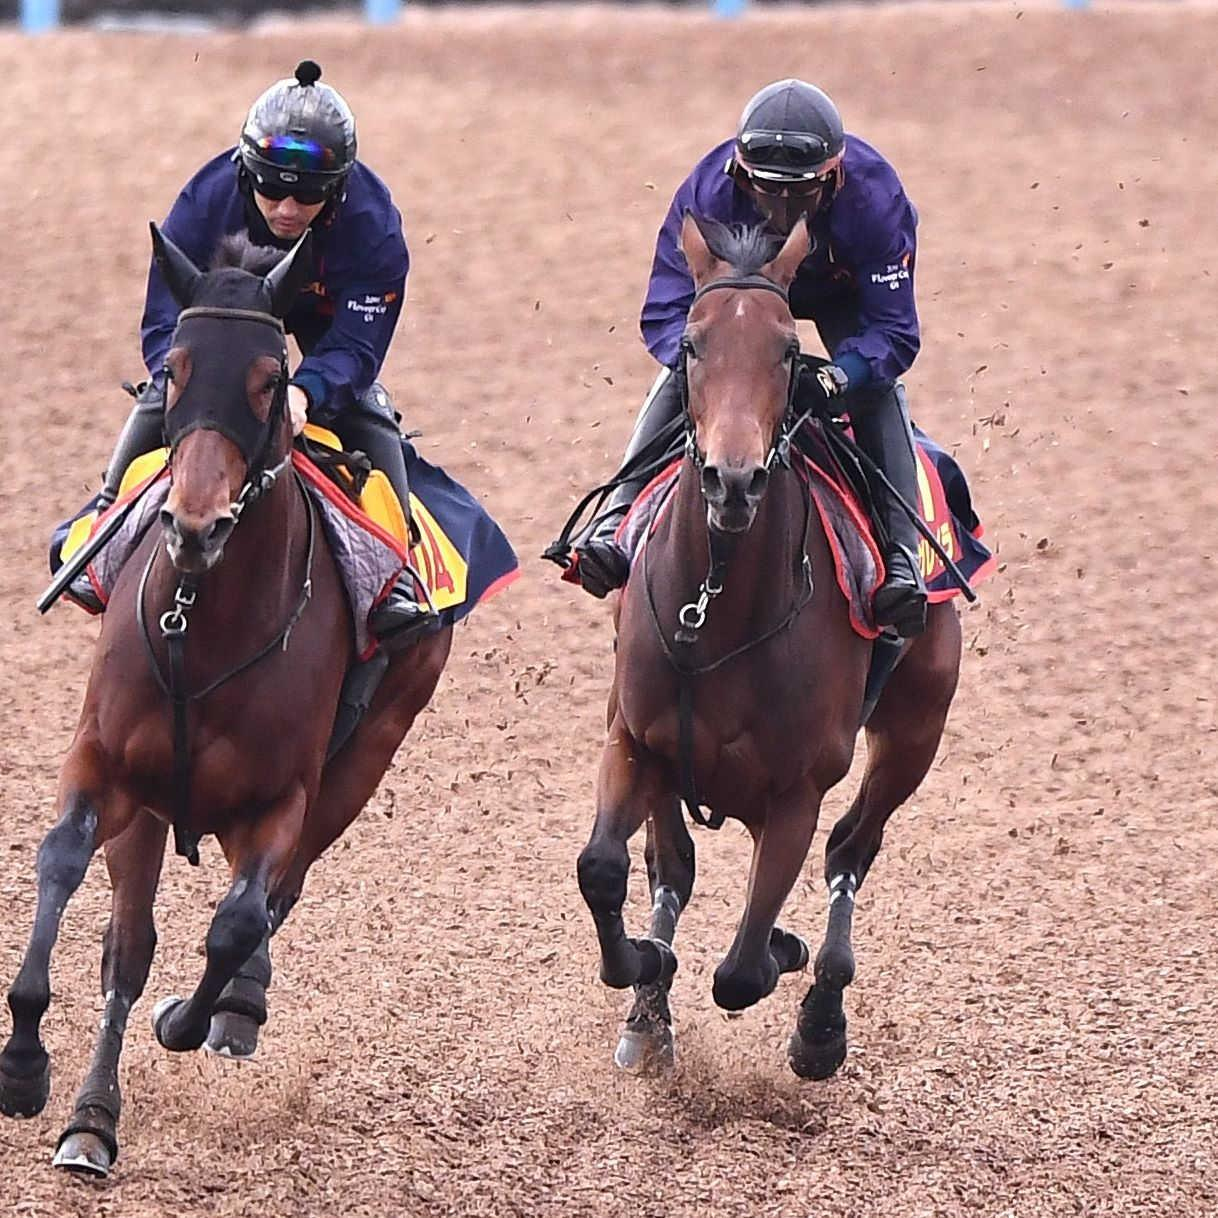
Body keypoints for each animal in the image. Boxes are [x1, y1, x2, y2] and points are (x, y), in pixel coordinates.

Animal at [0, 226, 453, 1169]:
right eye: (173, 370)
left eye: (270, 380)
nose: (195, 523)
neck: (198, 620)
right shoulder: (106, 766)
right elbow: (65, 867)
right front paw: (27, 1067)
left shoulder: (282, 800)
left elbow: (238, 921)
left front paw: (191, 1016)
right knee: (129, 944)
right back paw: (91, 1118)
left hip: (367, 756)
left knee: (279, 896)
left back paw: (236, 1007)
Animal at [574, 216, 964, 1076]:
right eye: (691, 345)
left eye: (789, 351)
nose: (733, 480)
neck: (717, 606)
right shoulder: (636, 739)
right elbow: (605, 870)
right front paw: (646, 972)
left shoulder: (796, 794)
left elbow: (744, 970)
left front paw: (785, 951)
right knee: (672, 869)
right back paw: (649, 1015)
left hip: (914, 730)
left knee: (852, 849)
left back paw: (821, 1016)